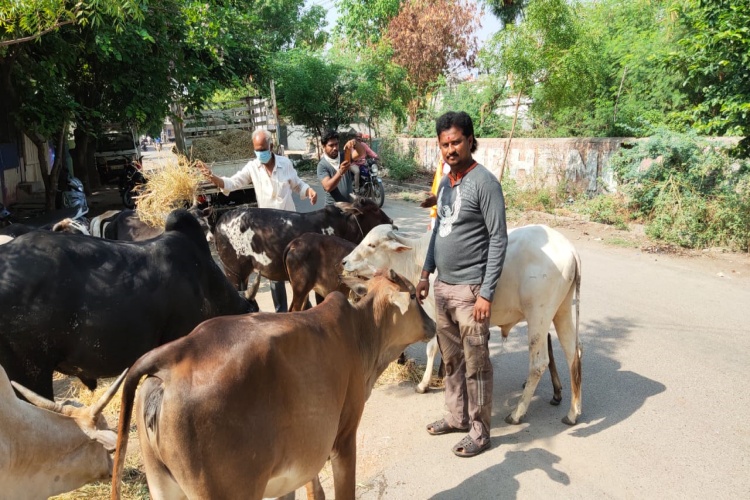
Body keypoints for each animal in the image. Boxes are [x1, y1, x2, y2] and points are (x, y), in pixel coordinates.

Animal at [344, 225, 584, 424]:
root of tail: (570, 250)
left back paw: (517, 413)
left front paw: (424, 384)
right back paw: (573, 412)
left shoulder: (437, 312)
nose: (344, 261)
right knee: (574, 352)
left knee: (539, 363)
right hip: (561, 311)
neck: (416, 259)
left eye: (371, 245)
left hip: (538, 316)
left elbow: (432, 348)